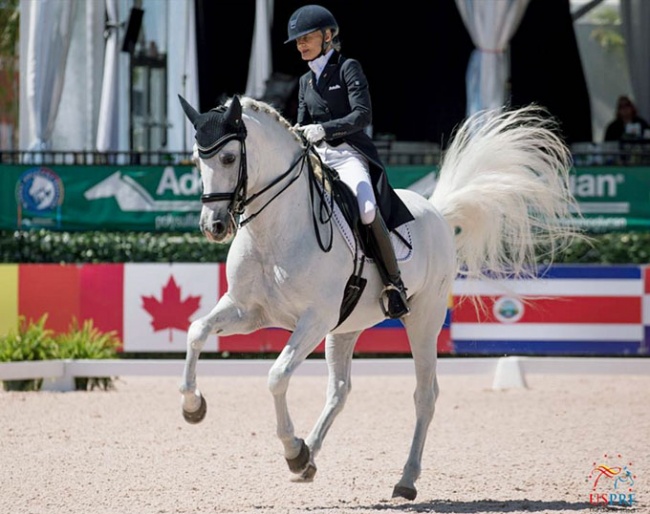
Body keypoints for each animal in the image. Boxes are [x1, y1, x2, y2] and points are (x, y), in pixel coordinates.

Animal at [175, 94, 576, 498]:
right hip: (345, 328)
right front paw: (193, 406)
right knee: (339, 390)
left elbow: (276, 376)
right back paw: (309, 458)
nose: (213, 226)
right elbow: (196, 332)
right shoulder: (248, 311)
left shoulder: (313, 319)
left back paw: (404, 480)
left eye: (228, 158)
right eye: (196, 159)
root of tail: (436, 211)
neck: (275, 230)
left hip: (423, 320)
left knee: (425, 395)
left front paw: (290, 447)